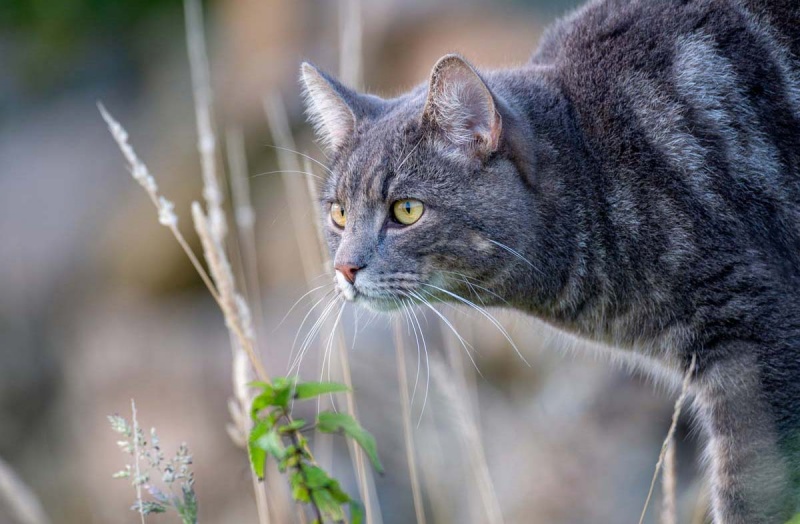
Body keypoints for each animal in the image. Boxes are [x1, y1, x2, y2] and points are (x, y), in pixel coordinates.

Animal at [298, 0, 800, 520]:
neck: (594, 163)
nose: (344, 267)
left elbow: (750, 495)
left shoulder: (757, 344)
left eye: (406, 210)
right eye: (338, 213)